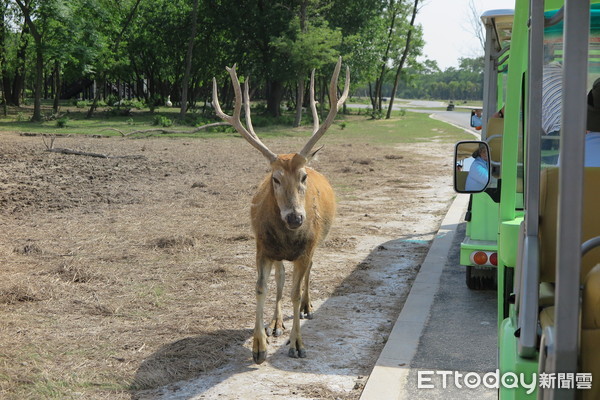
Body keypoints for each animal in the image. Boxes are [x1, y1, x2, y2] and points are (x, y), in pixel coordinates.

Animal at [212, 57, 350, 364]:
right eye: (275, 178)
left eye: (303, 176)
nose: (295, 217)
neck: (288, 238)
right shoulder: (262, 247)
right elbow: (261, 287)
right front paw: (259, 345)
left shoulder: (306, 247)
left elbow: (295, 294)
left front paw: (297, 344)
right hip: (276, 253)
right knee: (280, 277)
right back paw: (275, 324)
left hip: (315, 244)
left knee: (308, 273)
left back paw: (308, 307)